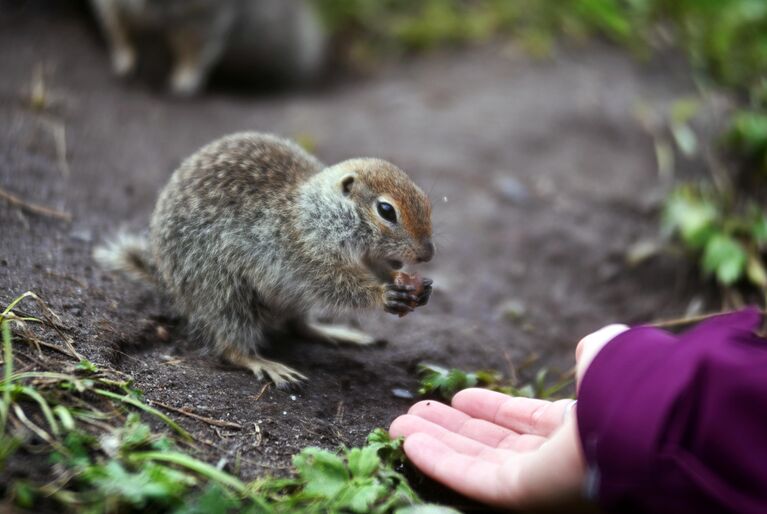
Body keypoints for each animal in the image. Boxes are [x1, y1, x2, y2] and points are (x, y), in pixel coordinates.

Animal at [94, 132, 432, 384]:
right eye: (386, 210)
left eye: (426, 201)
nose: (428, 254)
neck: (316, 211)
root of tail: (168, 283)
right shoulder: (301, 253)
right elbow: (335, 285)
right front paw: (385, 294)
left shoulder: (366, 256)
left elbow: (377, 267)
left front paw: (414, 286)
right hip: (223, 291)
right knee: (231, 343)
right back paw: (263, 363)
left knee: (298, 325)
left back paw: (333, 332)